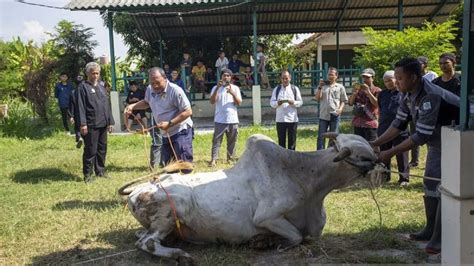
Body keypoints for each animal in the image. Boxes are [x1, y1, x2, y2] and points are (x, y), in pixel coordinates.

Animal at [119, 134, 382, 262]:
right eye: (364, 156)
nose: (382, 167)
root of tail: (137, 191)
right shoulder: (267, 216)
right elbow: (296, 237)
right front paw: (269, 242)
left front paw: (263, 241)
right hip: (173, 207)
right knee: (146, 243)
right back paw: (179, 255)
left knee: (141, 235)